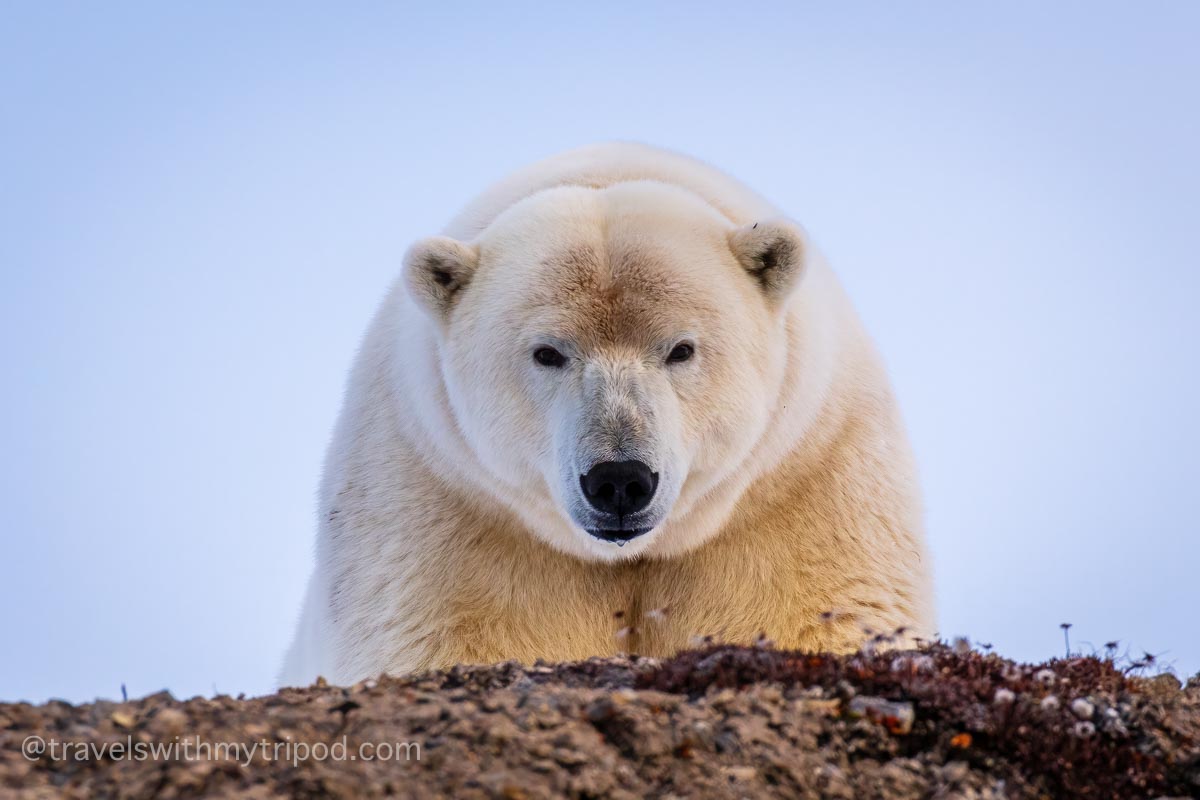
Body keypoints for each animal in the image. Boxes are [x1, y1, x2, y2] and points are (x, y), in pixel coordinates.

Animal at [280, 140, 936, 686]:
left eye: (681, 348)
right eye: (548, 352)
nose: (619, 480)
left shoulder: (807, 487)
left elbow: (815, 614)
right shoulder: (438, 508)